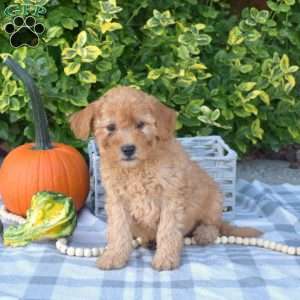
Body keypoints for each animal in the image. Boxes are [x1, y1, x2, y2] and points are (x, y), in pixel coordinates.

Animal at [69, 85, 262, 270]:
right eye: (110, 128)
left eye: (141, 124)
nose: (128, 149)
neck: (137, 169)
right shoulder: (117, 202)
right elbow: (118, 231)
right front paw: (114, 256)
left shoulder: (171, 199)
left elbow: (167, 231)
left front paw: (165, 259)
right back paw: (149, 240)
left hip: (214, 200)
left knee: (214, 225)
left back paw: (203, 233)